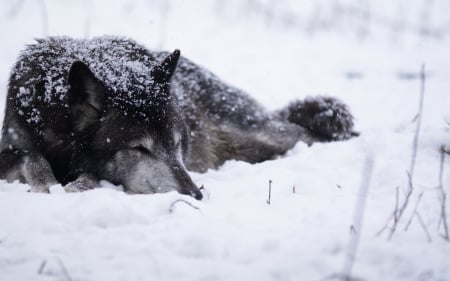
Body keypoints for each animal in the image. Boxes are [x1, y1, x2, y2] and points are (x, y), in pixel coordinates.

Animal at [0, 36, 358, 199]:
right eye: (139, 148)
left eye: (176, 144)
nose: (196, 194)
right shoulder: (11, 147)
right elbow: (31, 156)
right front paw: (48, 183)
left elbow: (88, 174)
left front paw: (75, 185)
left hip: (261, 135)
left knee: (306, 133)